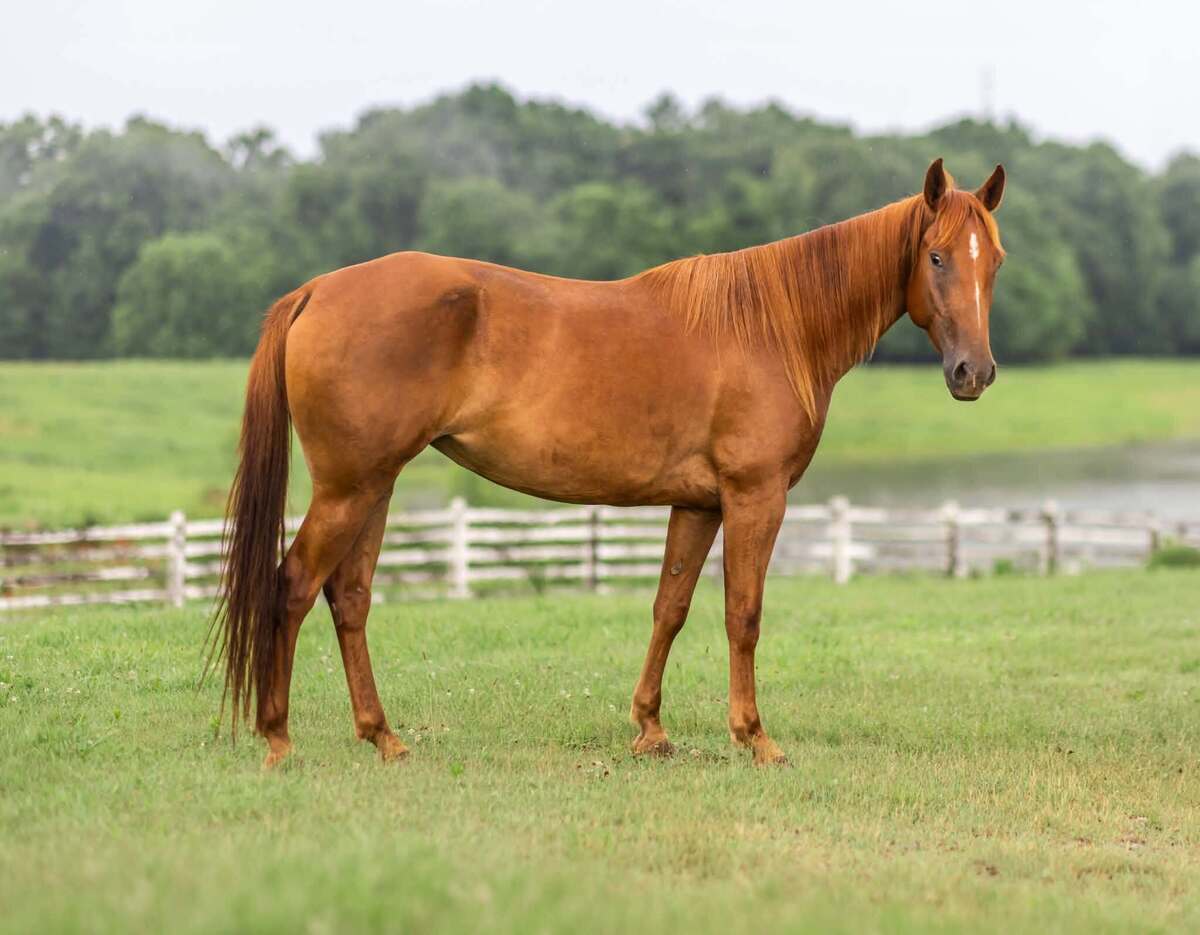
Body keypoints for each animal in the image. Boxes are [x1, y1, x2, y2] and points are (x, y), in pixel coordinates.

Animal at [210, 157, 1006, 768]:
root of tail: (317, 290)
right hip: (348, 488)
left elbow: (670, 607)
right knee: (293, 587)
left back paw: (384, 738)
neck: (772, 327)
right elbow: (742, 613)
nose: (974, 373)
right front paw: (755, 738)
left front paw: (650, 728)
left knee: (350, 598)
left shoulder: (699, 503)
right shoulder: (755, 497)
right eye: (936, 256)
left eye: (993, 262)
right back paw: (279, 739)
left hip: (375, 486)